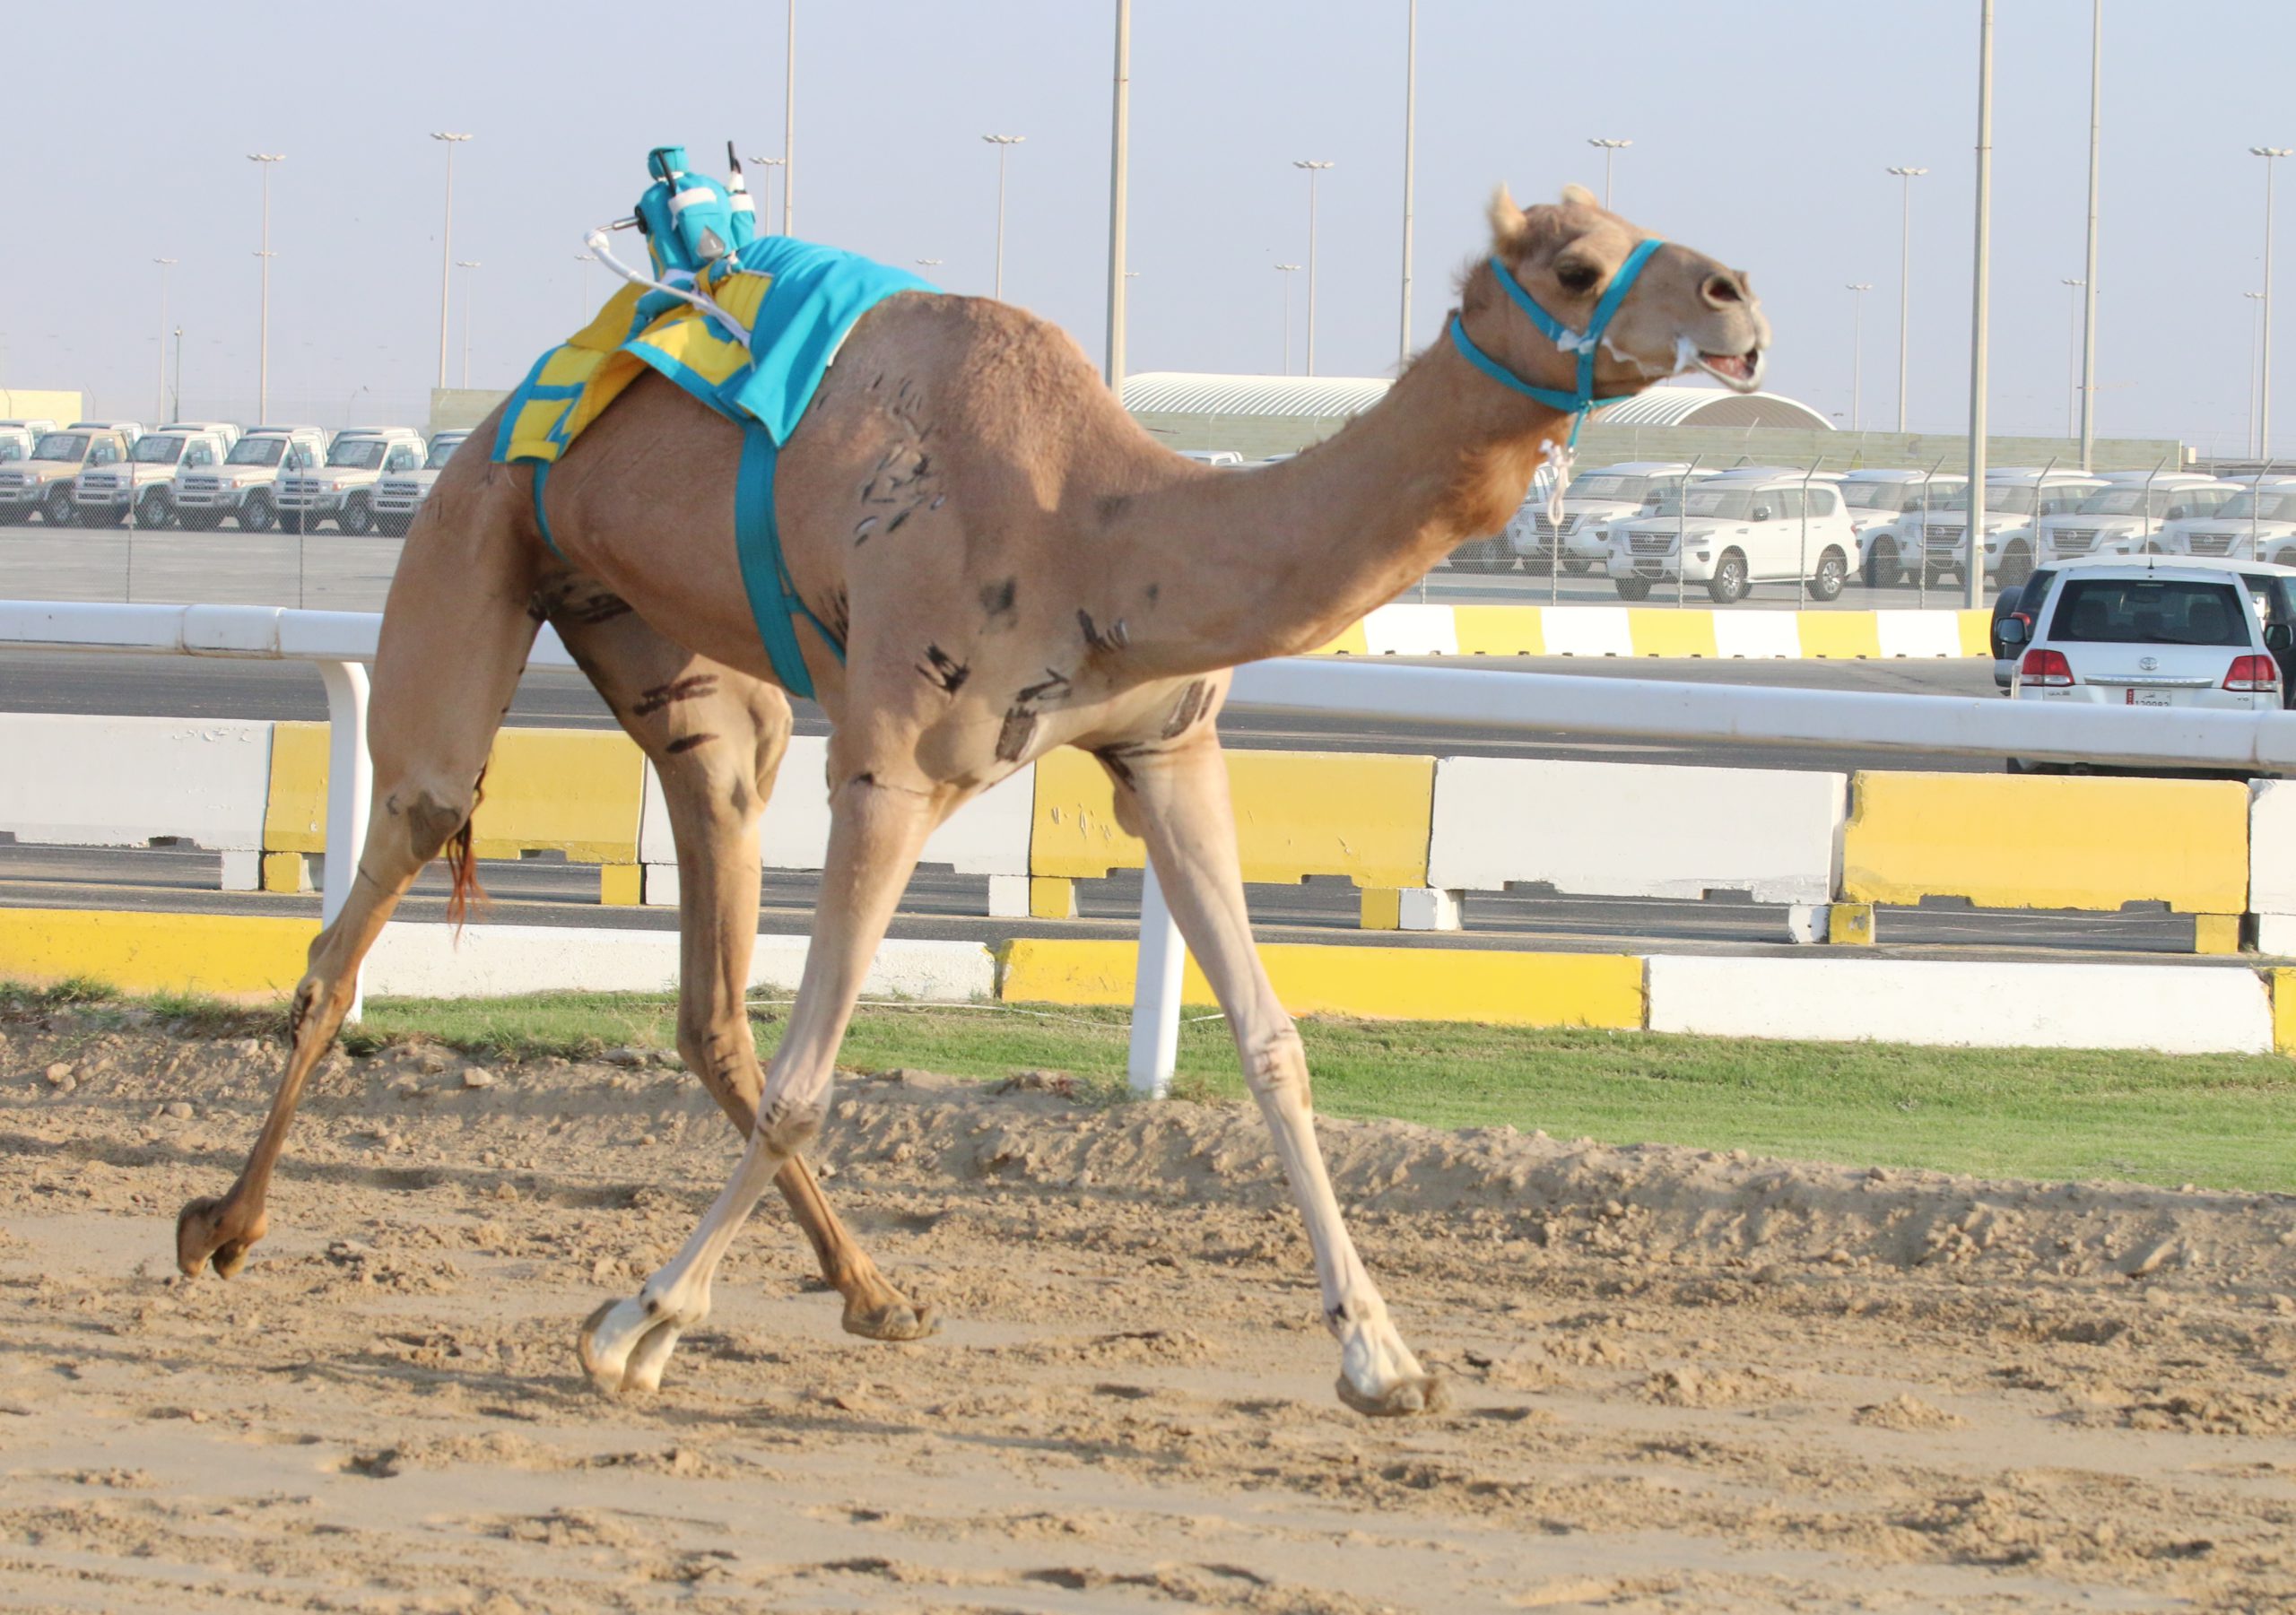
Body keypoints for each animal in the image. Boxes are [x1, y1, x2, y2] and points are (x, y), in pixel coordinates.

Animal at [178, 186, 1763, 1412]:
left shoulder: (1168, 754)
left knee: (709, 980)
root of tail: (525, 392)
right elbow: (817, 1080)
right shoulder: (891, 763)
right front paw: (632, 1331)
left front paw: (1385, 1359)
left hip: (677, 669)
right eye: (1574, 262)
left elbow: (1274, 1045)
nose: (1738, 294)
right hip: (479, 538)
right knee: (381, 878)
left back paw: (877, 1290)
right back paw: (219, 1224)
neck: (1103, 531)